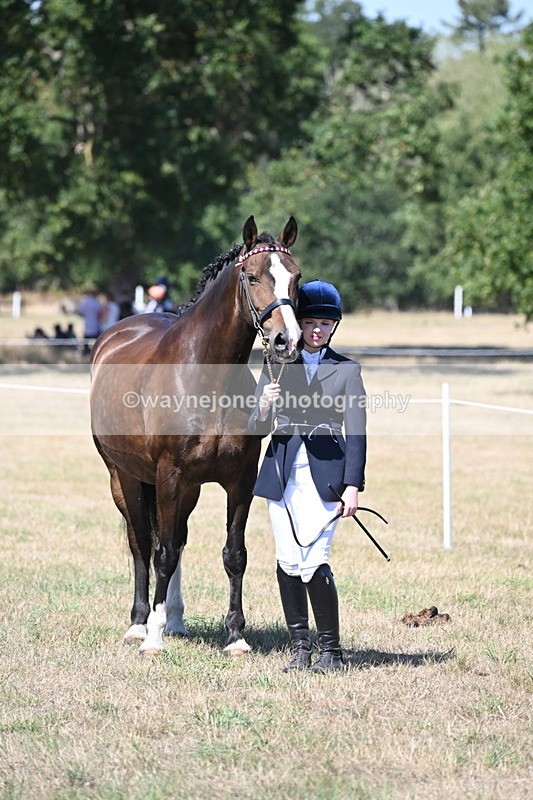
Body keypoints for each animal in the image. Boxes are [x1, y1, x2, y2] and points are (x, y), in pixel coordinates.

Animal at [90, 216, 301, 657]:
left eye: (297, 277)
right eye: (252, 276)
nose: (286, 341)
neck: (206, 377)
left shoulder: (239, 479)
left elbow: (233, 554)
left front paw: (236, 637)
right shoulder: (169, 475)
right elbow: (162, 553)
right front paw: (152, 639)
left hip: (186, 489)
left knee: (178, 539)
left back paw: (174, 619)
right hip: (125, 477)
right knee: (142, 544)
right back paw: (139, 623)